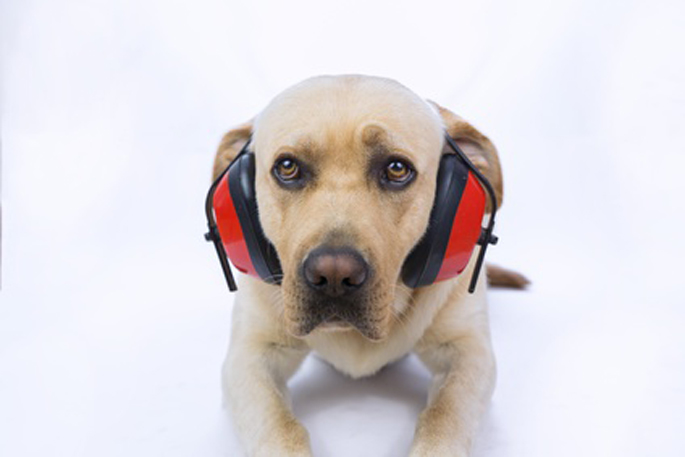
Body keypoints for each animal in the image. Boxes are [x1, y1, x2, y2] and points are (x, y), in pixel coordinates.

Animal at [211, 75, 528, 452]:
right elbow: (280, 427)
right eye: (287, 167)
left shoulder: (470, 351)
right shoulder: (248, 356)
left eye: (396, 169)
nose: (334, 275)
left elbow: (446, 415)